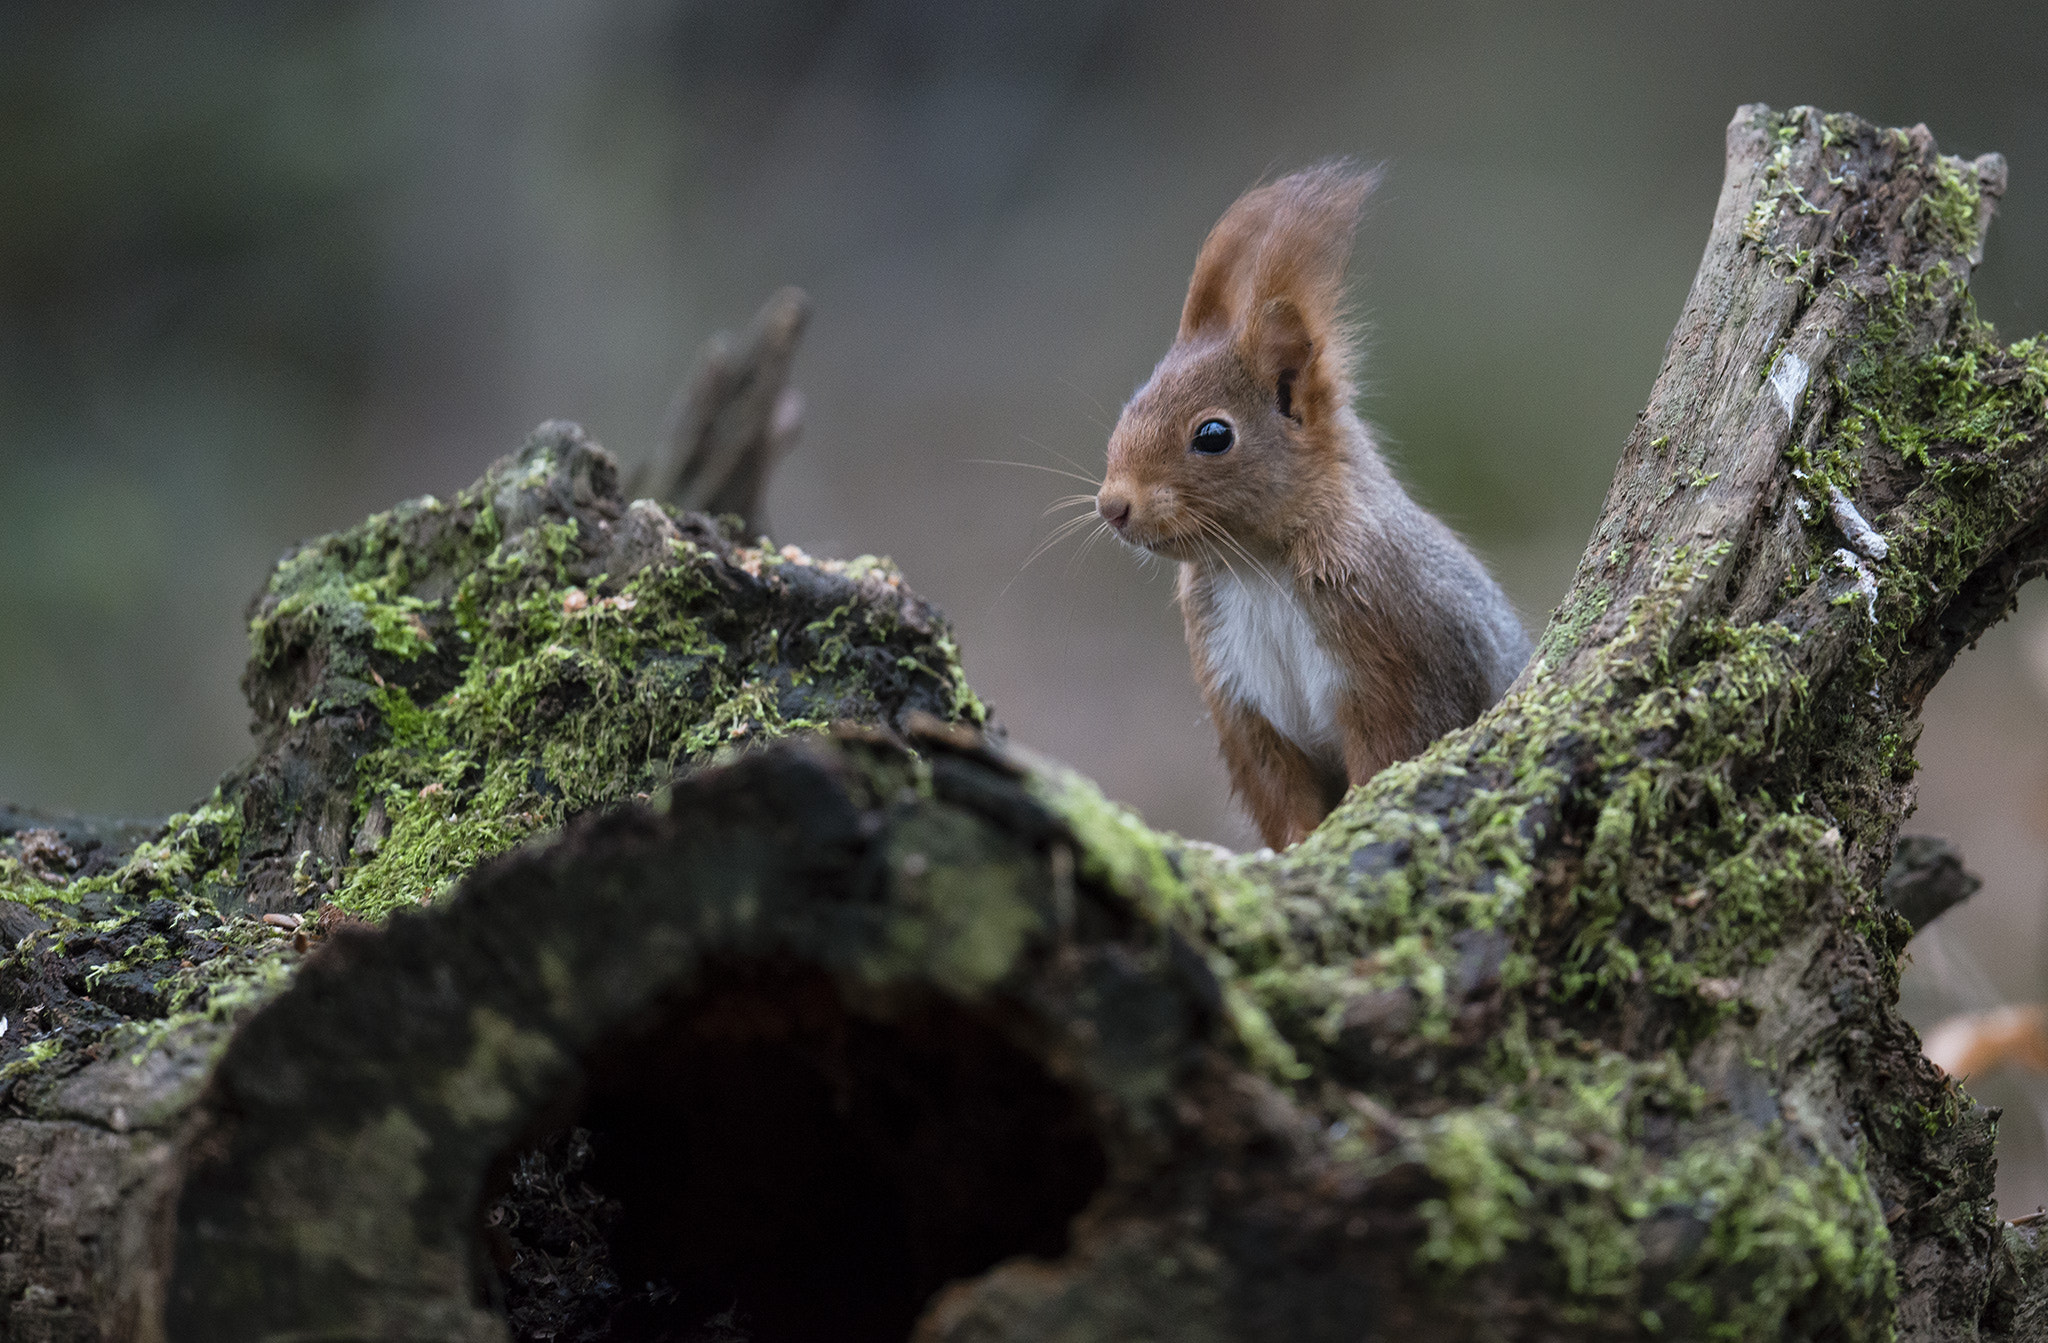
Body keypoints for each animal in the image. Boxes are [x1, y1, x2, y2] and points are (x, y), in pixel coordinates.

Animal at [1097, 162, 1531, 843]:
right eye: (1130, 406)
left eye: (1213, 435)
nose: (1112, 506)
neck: (1259, 566)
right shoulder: (1243, 708)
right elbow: (1282, 797)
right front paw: (1297, 848)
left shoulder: (1397, 659)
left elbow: (1390, 756)